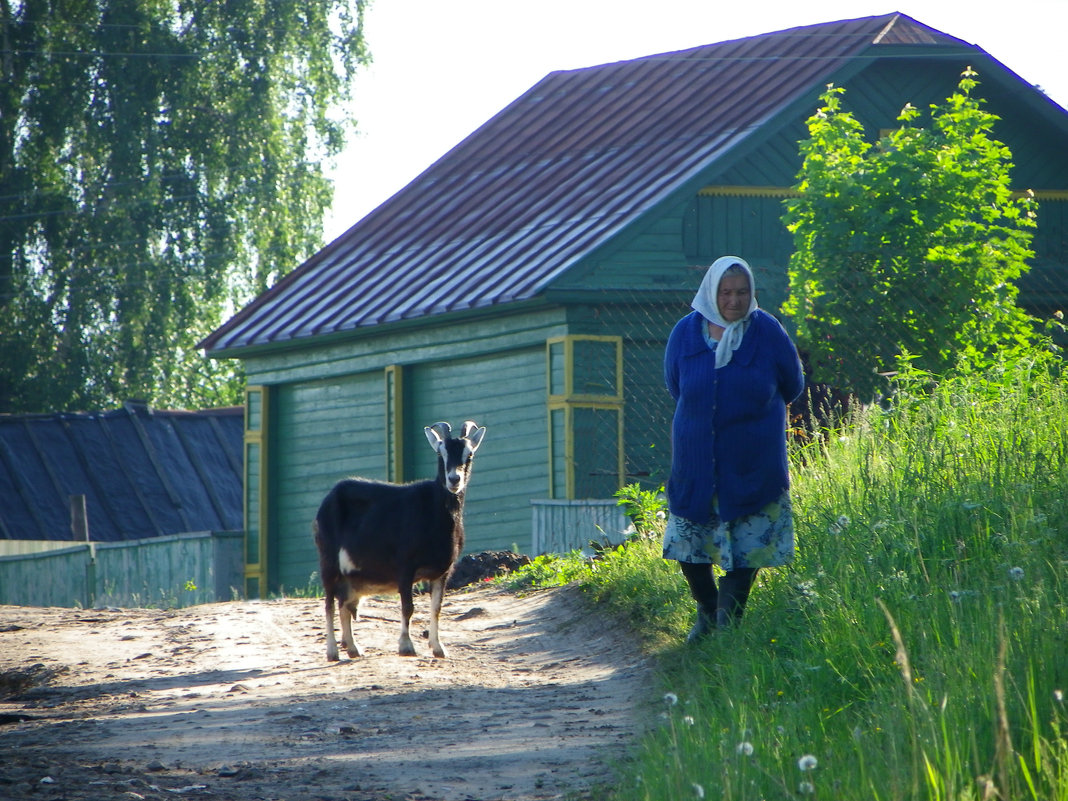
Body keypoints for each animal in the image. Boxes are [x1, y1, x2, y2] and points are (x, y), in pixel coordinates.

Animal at [311, 420, 489, 657]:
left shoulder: (443, 571)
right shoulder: (405, 566)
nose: (454, 479)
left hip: (350, 574)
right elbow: (408, 606)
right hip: (328, 560)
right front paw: (406, 646)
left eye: (468, 454)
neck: (434, 511)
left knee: (344, 604)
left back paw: (354, 648)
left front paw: (438, 648)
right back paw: (332, 651)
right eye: (440, 452)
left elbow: (436, 608)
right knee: (330, 602)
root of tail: (329, 498)